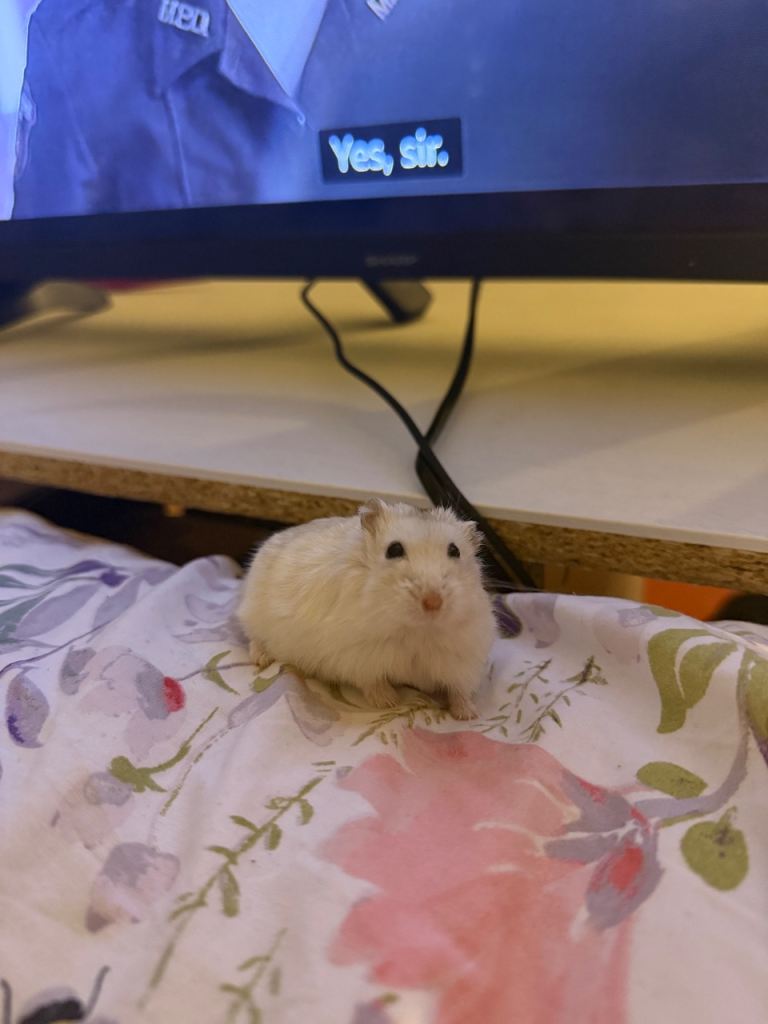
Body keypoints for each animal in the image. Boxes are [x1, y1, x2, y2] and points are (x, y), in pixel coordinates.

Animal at [237, 499, 498, 719]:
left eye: (455, 551)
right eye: (394, 550)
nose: (433, 602)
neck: (416, 629)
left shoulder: (463, 659)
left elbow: (459, 690)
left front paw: (467, 715)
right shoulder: (360, 657)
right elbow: (373, 682)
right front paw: (391, 702)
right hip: (253, 614)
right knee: (253, 638)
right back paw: (262, 659)